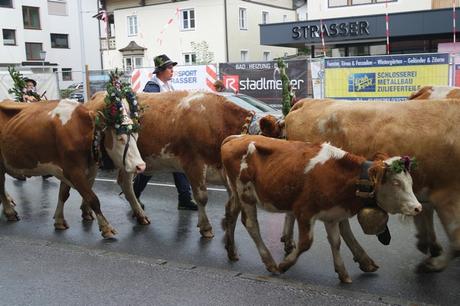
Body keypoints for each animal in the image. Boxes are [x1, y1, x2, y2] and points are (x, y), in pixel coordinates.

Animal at [87, 89, 280, 238]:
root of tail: (97, 94)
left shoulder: (226, 173)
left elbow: (233, 201)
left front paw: (226, 223)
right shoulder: (194, 164)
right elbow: (202, 197)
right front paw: (206, 228)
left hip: (129, 160)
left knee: (124, 183)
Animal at [221, 135, 422, 284]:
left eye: (410, 182)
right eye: (396, 183)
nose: (418, 207)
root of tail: (237, 137)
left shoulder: (333, 213)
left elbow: (336, 241)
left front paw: (343, 272)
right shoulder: (303, 211)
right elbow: (306, 243)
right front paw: (284, 265)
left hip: (236, 194)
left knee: (231, 214)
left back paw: (231, 251)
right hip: (245, 193)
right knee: (251, 225)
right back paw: (269, 262)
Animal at [284, 98, 460, 272]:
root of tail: (308, 101)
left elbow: (425, 213)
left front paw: (429, 244)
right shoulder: (446, 196)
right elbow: (456, 241)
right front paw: (436, 262)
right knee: (340, 224)